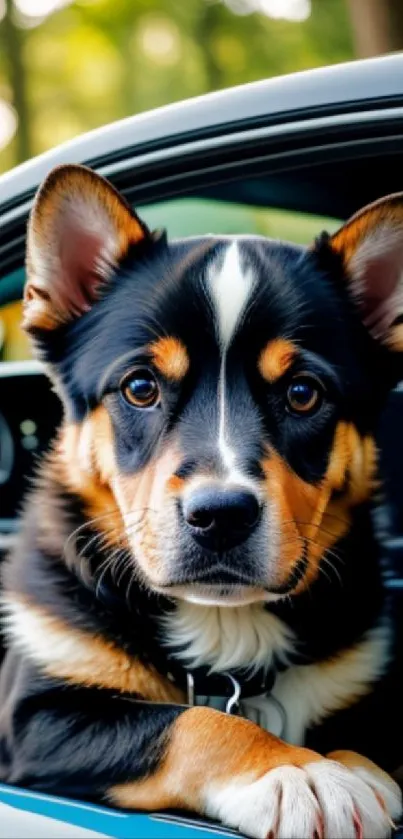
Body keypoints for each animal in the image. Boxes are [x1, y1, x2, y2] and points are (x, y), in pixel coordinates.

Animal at [0, 164, 403, 839]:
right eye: (140, 386)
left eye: (302, 393)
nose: (220, 517)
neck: (226, 628)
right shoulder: (38, 717)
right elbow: (193, 722)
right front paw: (299, 772)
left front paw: (351, 765)